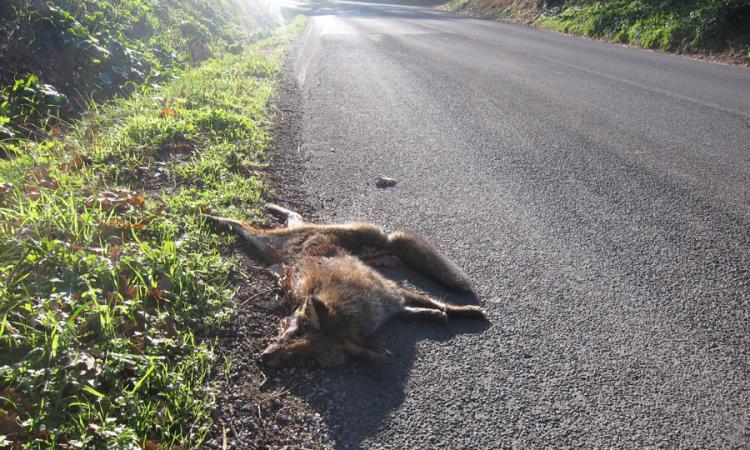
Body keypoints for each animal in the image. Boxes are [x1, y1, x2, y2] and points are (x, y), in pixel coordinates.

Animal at [203, 203, 486, 368]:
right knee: (243, 224)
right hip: (265, 240)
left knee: (293, 216)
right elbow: (433, 303)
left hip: (272, 242)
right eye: (295, 334)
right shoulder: (393, 294)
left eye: (306, 357)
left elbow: (433, 305)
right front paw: (449, 312)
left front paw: (460, 312)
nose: (263, 358)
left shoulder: (393, 299)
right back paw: (213, 216)